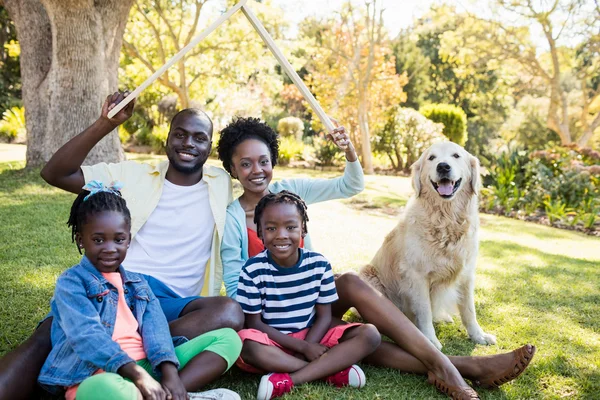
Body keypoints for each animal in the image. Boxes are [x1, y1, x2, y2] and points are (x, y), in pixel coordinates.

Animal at [360, 141, 496, 350]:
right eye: (431, 158)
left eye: (456, 156)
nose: (443, 166)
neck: (445, 219)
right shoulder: (417, 276)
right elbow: (424, 312)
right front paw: (430, 340)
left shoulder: (466, 275)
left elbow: (469, 310)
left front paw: (478, 335)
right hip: (368, 275)